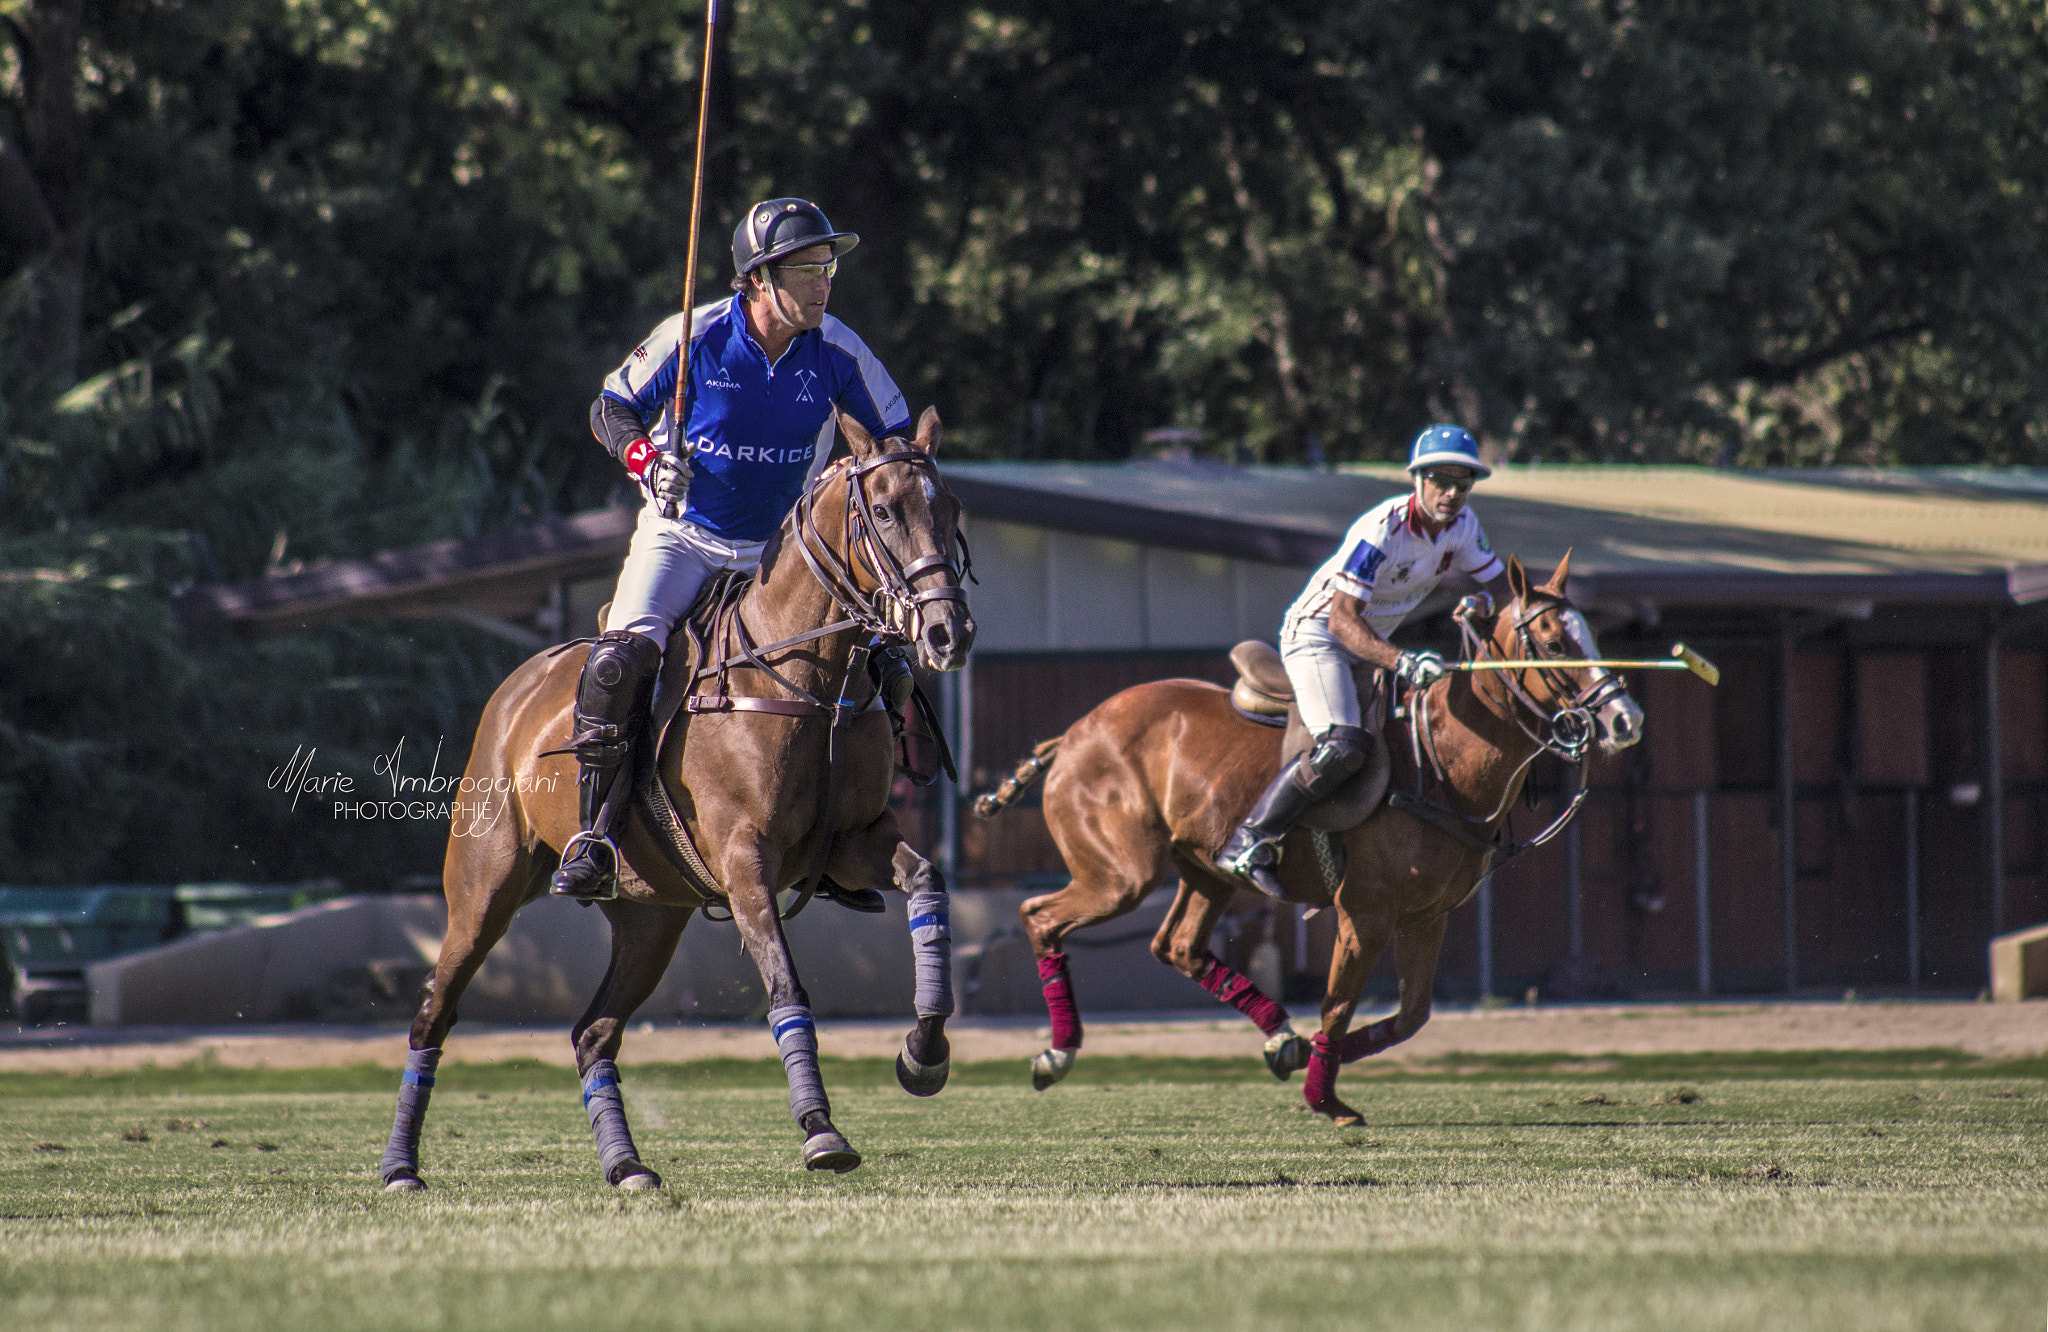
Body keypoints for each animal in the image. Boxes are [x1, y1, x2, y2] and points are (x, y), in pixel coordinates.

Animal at [382, 409, 974, 1188]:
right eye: (882, 511)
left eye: (952, 508)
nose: (949, 631)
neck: (806, 680)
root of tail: (517, 687)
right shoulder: (745, 859)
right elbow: (787, 989)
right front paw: (821, 1131)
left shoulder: (853, 839)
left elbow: (927, 882)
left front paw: (923, 1054)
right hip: (485, 886)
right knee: (435, 1010)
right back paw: (400, 1167)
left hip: (651, 917)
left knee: (593, 1033)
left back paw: (627, 1166)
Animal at [978, 553, 1646, 1122]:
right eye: (1555, 642)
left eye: (1590, 635)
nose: (1625, 721)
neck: (1440, 761)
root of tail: (1071, 734)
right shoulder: (1365, 912)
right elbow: (1340, 1004)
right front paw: (1325, 1098)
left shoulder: (1427, 915)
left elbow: (1410, 1016)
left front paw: (1307, 1058)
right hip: (1121, 874)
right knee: (1041, 916)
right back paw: (1056, 1054)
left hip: (1204, 869)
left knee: (1179, 946)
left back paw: (1280, 1034)